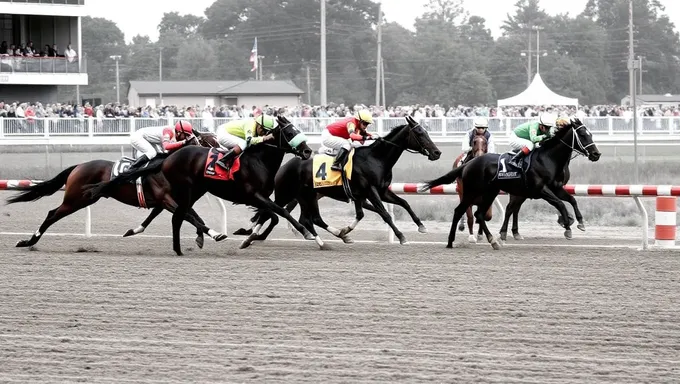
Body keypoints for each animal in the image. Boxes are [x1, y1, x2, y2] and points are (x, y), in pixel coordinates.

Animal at [5, 130, 226, 248]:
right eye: (210, 141)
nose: (224, 154)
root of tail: (78, 166)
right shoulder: (166, 199)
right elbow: (189, 216)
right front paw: (216, 234)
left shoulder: (173, 200)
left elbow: (194, 216)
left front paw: (204, 235)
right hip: (76, 199)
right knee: (52, 214)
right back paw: (29, 241)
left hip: (83, 198)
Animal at [82, 115, 314, 256]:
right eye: (291, 133)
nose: (308, 151)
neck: (258, 161)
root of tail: (168, 158)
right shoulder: (253, 195)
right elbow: (280, 213)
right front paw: (307, 233)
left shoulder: (260, 198)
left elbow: (272, 215)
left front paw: (249, 238)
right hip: (186, 190)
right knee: (178, 216)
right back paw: (182, 247)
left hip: (195, 191)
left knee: (177, 214)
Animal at [238, 115, 440, 246]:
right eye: (420, 133)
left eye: (426, 131)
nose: (437, 152)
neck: (376, 158)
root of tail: (285, 166)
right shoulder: (370, 191)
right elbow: (384, 214)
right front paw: (401, 236)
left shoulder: (380, 191)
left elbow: (403, 203)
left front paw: (421, 226)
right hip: (286, 194)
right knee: (273, 212)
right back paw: (252, 236)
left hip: (307, 196)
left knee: (306, 218)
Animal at [422, 119, 604, 249]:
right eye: (583, 135)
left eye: (591, 134)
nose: (596, 154)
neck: (548, 159)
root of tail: (469, 163)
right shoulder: (540, 190)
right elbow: (560, 204)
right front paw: (567, 227)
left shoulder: (556, 188)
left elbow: (571, 200)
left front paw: (579, 222)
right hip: (472, 191)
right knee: (461, 211)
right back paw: (451, 242)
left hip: (490, 192)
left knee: (479, 214)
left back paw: (493, 241)